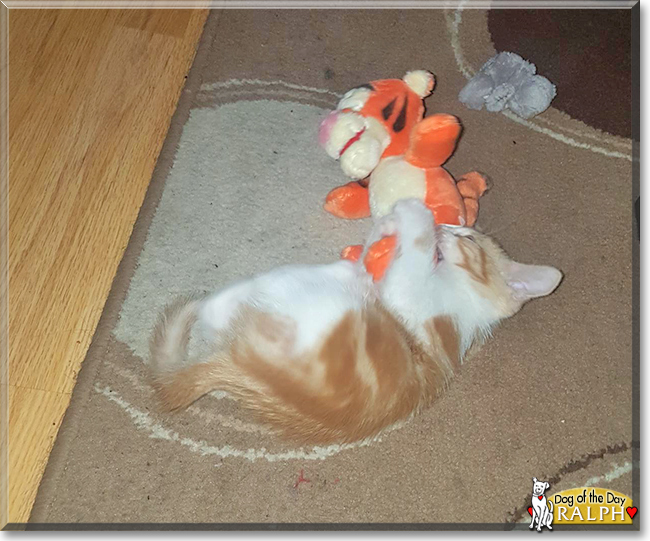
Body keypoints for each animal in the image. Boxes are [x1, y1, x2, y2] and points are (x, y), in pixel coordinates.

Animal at [149, 198, 560, 442]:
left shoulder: (414, 301)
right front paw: (386, 228)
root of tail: (238, 365)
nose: (446, 226)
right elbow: (372, 262)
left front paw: (414, 214)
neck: (465, 304)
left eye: (469, 239)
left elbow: (411, 257)